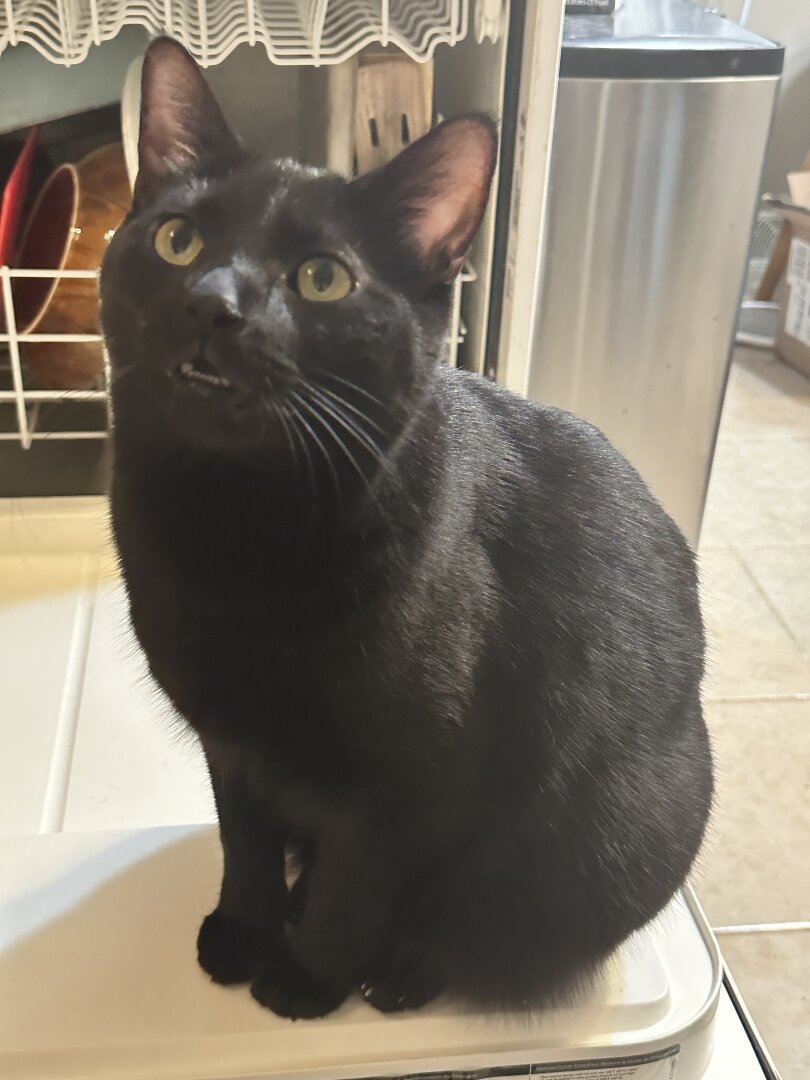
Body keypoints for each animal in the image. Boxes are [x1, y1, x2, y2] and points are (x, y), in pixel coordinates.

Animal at [99, 38, 708, 1015]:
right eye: (178, 238)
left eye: (323, 278)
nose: (214, 302)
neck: (235, 531)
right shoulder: (231, 746)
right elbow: (244, 845)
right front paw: (244, 931)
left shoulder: (410, 777)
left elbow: (356, 881)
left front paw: (306, 979)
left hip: (607, 840)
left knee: (491, 925)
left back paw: (401, 971)